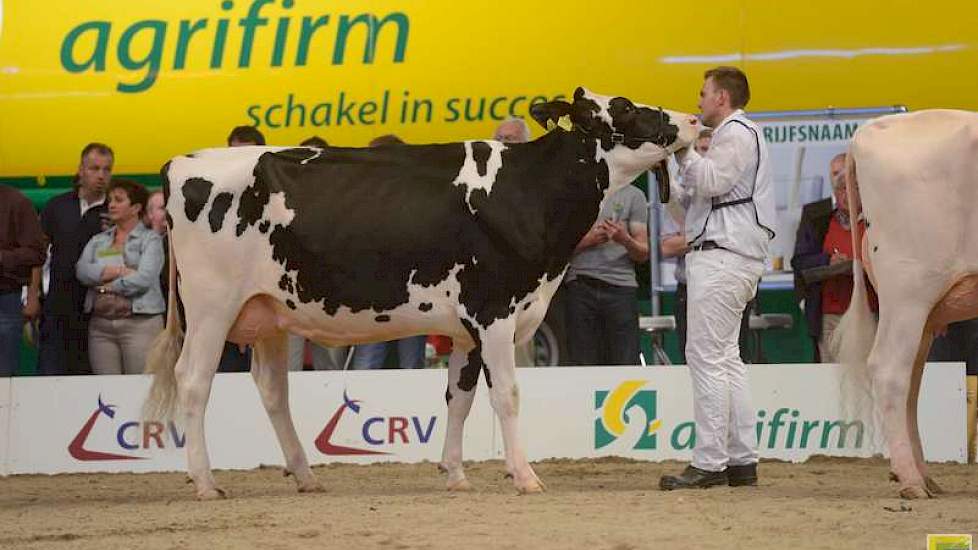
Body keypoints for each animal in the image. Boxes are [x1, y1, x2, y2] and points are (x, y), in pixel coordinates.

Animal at [832, 108, 976, 500]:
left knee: (911, 384)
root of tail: (869, 130)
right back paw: (911, 480)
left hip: (922, 309)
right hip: (909, 291)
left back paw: (920, 475)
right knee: (890, 370)